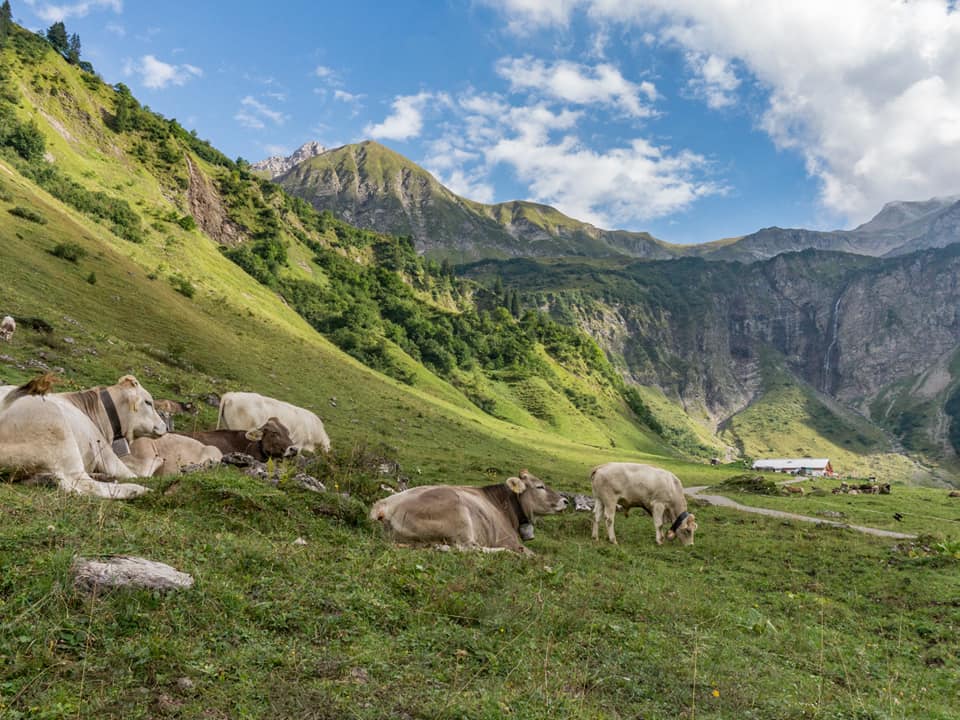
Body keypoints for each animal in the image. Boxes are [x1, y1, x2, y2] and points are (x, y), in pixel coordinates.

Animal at [0, 374, 167, 498]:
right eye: (148, 402)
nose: (165, 426)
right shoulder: (105, 453)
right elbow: (132, 474)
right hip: (61, 435)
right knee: (85, 484)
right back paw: (138, 490)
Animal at [366, 470, 564, 556]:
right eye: (540, 486)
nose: (565, 501)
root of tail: (384, 504)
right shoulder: (508, 539)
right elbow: (533, 555)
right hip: (459, 514)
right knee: (469, 548)